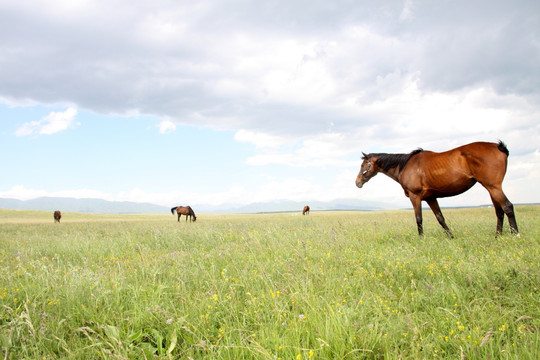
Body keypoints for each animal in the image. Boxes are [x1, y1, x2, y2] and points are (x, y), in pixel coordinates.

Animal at [354, 142, 520, 238]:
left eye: (363, 165)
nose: (357, 182)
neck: (405, 166)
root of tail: (498, 146)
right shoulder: (430, 198)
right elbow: (440, 218)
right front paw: (451, 237)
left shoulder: (415, 197)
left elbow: (419, 219)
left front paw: (421, 239)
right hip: (491, 188)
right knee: (499, 211)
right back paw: (497, 236)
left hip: (493, 186)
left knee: (507, 206)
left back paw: (515, 235)